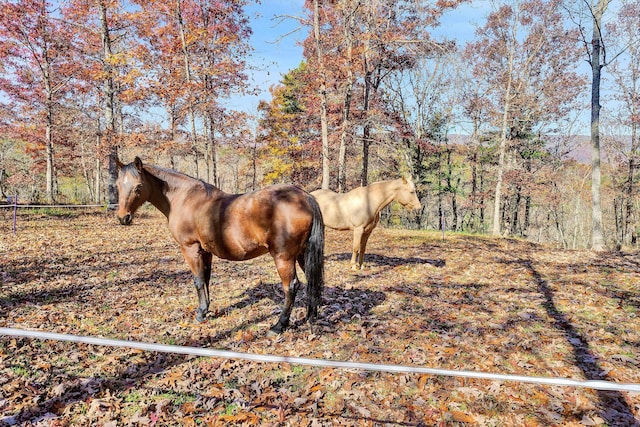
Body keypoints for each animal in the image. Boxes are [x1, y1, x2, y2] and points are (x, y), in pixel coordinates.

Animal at [115, 158, 324, 334]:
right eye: (118, 185)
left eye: (138, 186)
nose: (123, 218)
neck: (184, 199)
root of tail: (304, 196)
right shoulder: (205, 251)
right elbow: (206, 279)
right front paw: (206, 309)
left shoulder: (190, 249)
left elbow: (198, 281)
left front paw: (200, 314)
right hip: (302, 254)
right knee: (312, 280)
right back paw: (311, 316)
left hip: (283, 257)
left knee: (292, 286)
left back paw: (279, 325)